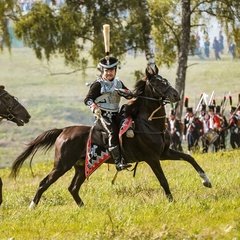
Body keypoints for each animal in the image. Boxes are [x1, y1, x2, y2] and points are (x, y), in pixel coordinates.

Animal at [9, 66, 212, 209]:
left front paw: (206, 181)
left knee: (73, 188)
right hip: (61, 165)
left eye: (166, 80)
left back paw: (84, 208)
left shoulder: (164, 153)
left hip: (81, 167)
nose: (176, 95)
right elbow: (163, 180)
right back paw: (32, 207)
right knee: (45, 183)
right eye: (157, 83)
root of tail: (64, 131)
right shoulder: (152, 158)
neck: (148, 123)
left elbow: (190, 158)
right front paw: (171, 201)